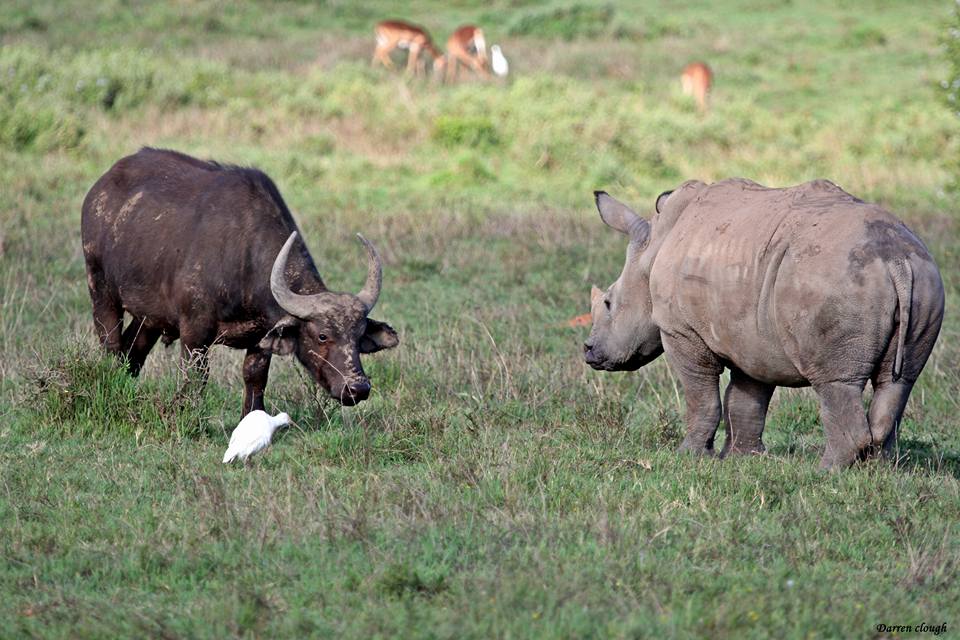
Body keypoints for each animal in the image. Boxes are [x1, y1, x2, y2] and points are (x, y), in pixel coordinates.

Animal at [79, 148, 398, 412]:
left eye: (358, 335)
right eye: (322, 335)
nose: (357, 388)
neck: (244, 256)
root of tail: (100, 188)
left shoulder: (261, 337)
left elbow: (255, 377)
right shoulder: (194, 332)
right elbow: (195, 378)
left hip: (150, 317)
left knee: (133, 352)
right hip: (101, 290)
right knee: (111, 345)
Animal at [584, 180, 944, 470]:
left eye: (608, 303)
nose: (588, 351)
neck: (654, 249)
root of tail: (895, 260)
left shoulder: (682, 331)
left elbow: (701, 396)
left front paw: (690, 456)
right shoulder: (750, 336)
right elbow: (746, 399)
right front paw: (742, 458)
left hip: (836, 280)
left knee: (834, 382)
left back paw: (825, 472)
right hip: (923, 278)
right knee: (898, 381)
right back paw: (879, 470)